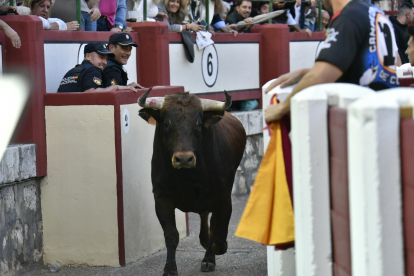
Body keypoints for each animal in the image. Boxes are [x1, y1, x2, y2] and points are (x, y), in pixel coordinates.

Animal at [137, 89, 247, 274]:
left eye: (198, 125)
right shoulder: (161, 199)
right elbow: (171, 235)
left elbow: (219, 230)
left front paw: (215, 252)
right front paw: (170, 268)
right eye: (166, 124)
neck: (189, 178)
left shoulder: (223, 198)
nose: (184, 159)